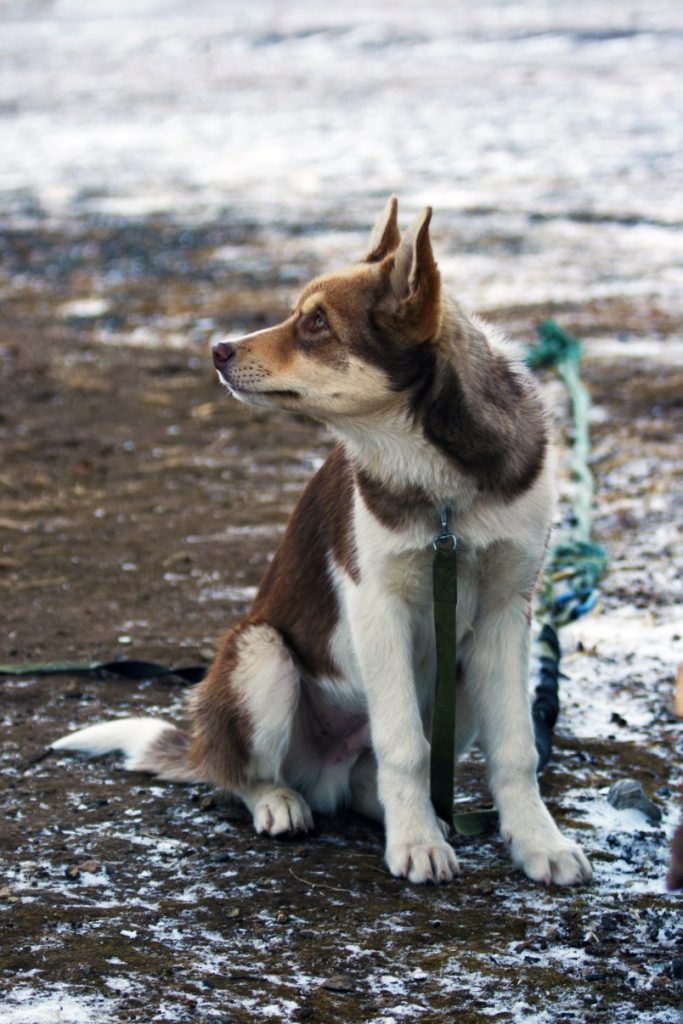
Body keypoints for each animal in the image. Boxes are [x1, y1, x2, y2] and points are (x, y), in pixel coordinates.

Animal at [53, 199, 589, 888]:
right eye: (296, 313)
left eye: (316, 324)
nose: (217, 348)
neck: (441, 483)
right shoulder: (376, 605)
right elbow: (404, 743)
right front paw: (417, 843)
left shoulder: (505, 614)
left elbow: (516, 749)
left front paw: (537, 843)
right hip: (262, 654)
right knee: (241, 775)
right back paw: (283, 802)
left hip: (458, 676)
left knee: (367, 777)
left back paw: (404, 810)